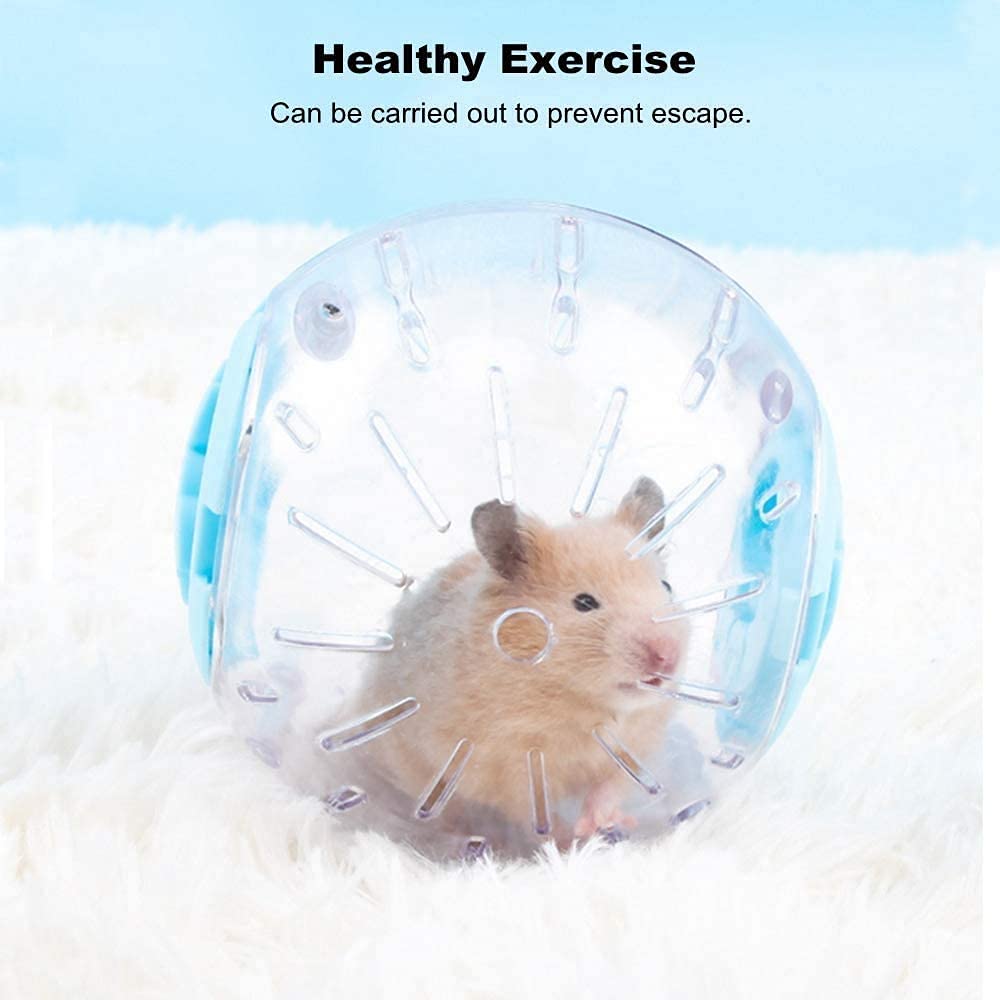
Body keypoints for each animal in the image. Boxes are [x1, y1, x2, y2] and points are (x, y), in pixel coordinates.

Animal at [362, 476, 689, 841]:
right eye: (584, 603)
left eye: (666, 587)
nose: (667, 657)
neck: (579, 702)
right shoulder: (508, 763)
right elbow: (533, 810)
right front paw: (571, 838)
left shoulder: (634, 745)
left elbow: (609, 787)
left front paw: (603, 824)